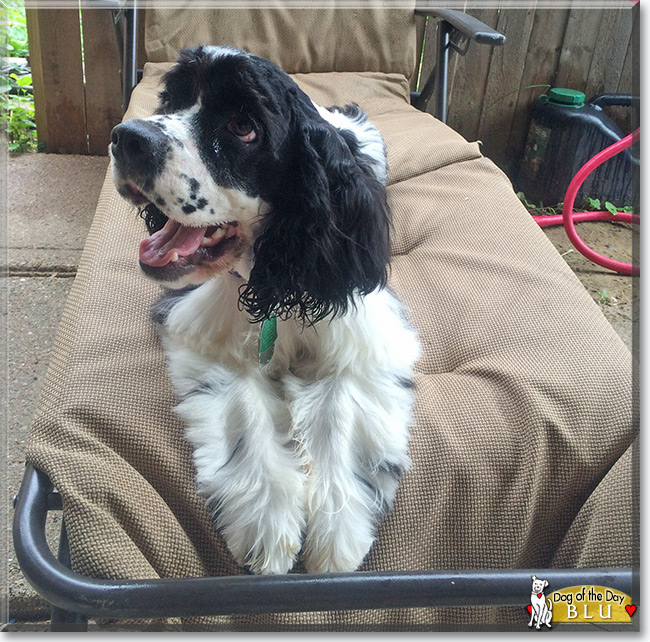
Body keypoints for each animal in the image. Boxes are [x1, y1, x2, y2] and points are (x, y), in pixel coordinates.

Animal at [109, 46, 418, 576]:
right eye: (174, 100)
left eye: (242, 126)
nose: (127, 137)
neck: (278, 278)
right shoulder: (208, 332)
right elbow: (247, 409)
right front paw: (267, 521)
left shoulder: (362, 337)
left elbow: (339, 409)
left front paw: (337, 529)